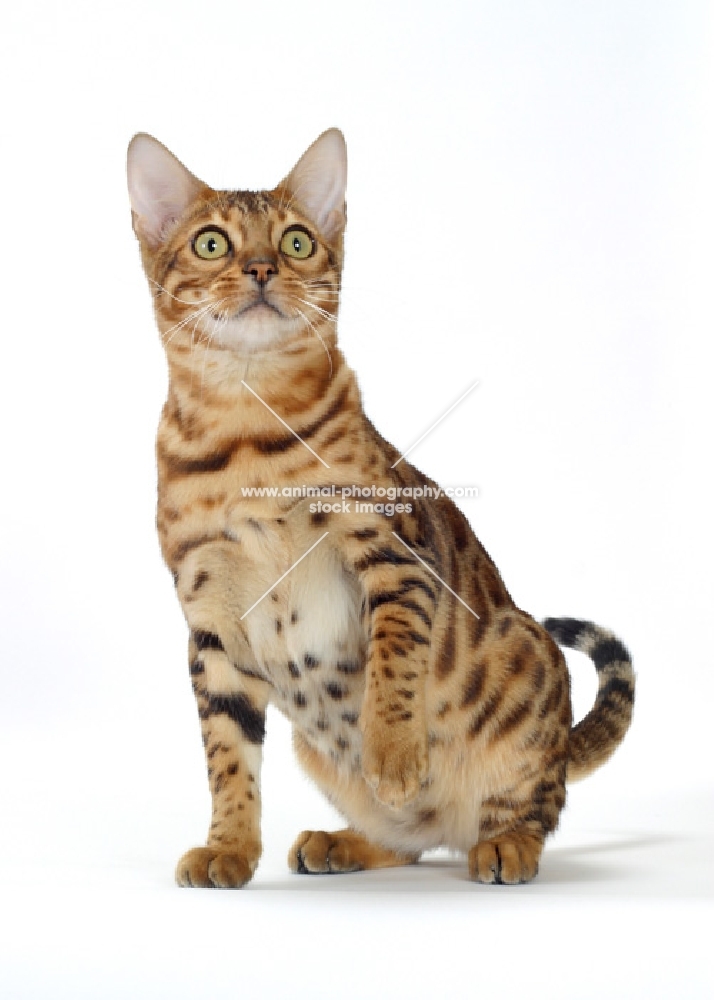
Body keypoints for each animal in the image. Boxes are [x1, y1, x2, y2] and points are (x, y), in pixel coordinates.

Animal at [125, 131, 632, 884]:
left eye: (298, 241)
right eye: (211, 243)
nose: (261, 268)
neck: (245, 428)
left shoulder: (395, 555)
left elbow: (394, 665)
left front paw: (392, 755)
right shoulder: (208, 616)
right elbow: (227, 756)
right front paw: (228, 848)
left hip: (528, 658)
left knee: (532, 806)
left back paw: (503, 844)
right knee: (407, 840)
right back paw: (342, 842)